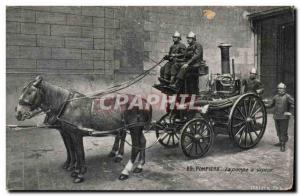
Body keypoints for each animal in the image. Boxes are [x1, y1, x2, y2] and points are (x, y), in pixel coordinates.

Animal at [14, 76, 152, 183]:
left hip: (134, 128)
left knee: (135, 146)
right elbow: (71, 149)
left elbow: (79, 152)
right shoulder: (66, 132)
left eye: (30, 92)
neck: (65, 105)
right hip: (137, 128)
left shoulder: (76, 134)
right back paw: (139, 165)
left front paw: (79, 173)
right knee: (141, 142)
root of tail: (145, 102)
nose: (18, 113)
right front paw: (72, 167)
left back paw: (125, 171)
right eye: (23, 90)